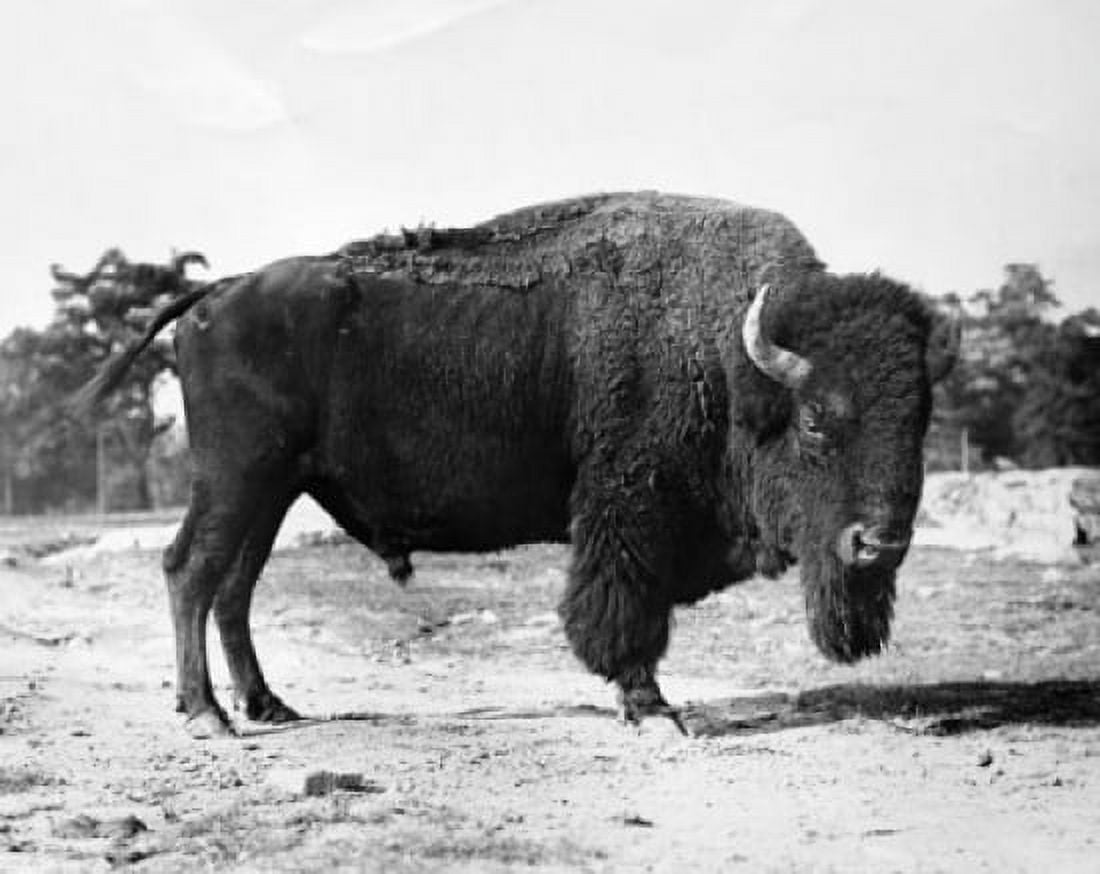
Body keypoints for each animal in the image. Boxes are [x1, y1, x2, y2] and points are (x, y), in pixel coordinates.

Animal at [77, 193, 956, 738]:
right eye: (815, 418)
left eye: (919, 418)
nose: (878, 544)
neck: (726, 354)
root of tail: (215, 294)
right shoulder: (627, 512)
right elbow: (623, 612)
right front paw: (652, 709)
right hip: (237, 480)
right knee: (191, 570)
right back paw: (207, 715)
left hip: (273, 490)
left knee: (234, 586)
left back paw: (267, 705)